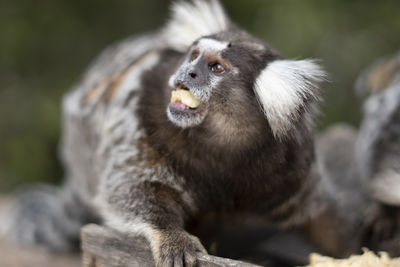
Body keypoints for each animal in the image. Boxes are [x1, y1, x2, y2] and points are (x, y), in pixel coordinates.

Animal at [1, 1, 336, 266]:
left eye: (216, 68)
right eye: (194, 56)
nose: (188, 73)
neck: (218, 145)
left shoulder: (291, 167)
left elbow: (313, 219)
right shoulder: (140, 123)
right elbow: (134, 187)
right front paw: (172, 236)